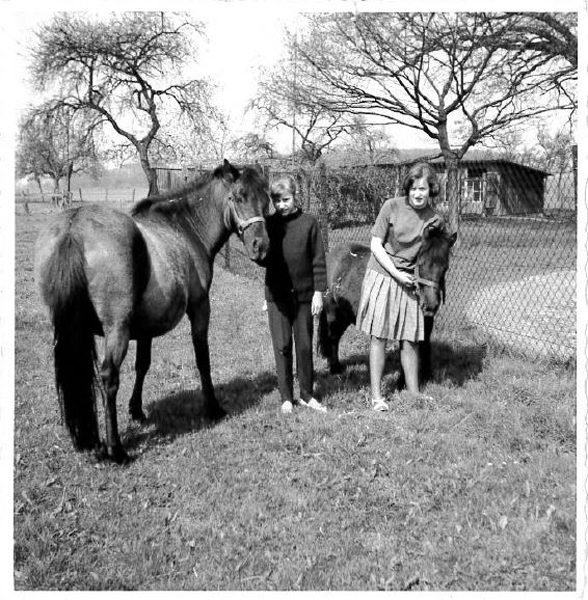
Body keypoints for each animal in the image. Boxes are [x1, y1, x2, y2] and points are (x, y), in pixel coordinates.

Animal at [38, 159, 272, 464]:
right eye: (239, 196)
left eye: (266, 199)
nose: (261, 247)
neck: (184, 229)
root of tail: (74, 228)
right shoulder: (200, 308)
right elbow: (202, 359)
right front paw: (213, 407)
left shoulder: (145, 327)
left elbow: (143, 365)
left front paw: (136, 410)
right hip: (116, 331)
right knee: (109, 377)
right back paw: (116, 449)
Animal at [320, 224, 458, 384]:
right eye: (421, 264)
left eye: (445, 267)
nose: (430, 305)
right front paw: (402, 381)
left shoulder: (427, 322)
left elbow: (425, 345)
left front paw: (426, 375)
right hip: (333, 314)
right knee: (333, 338)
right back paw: (335, 368)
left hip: (345, 316)